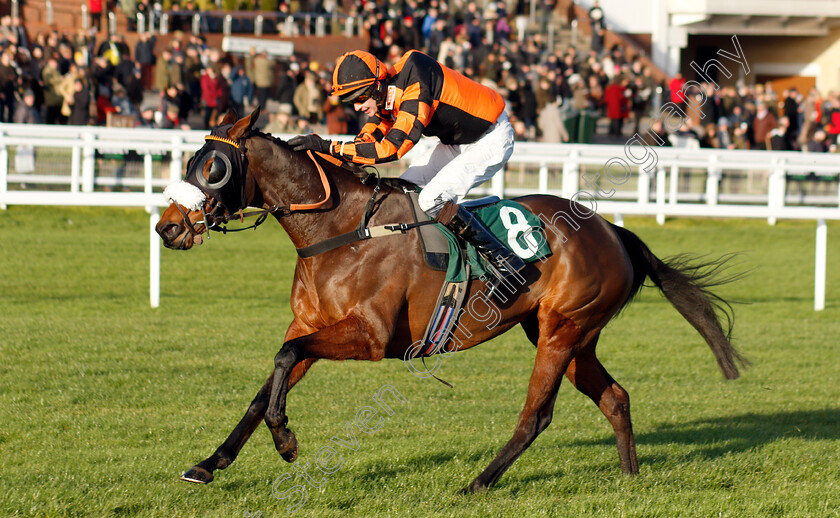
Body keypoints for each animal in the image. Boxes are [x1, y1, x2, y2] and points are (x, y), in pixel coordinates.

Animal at [154, 109, 744, 496]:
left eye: (213, 168)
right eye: (189, 160)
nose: (168, 227)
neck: (340, 230)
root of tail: (613, 231)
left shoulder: (368, 338)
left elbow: (282, 361)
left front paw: (287, 442)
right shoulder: (309, 327)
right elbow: (269, 381)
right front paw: (209, 463)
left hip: (562, 330)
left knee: (537, 414)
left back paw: (478, 483)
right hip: (569, 334)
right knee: (615, 397)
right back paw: (629, 477)